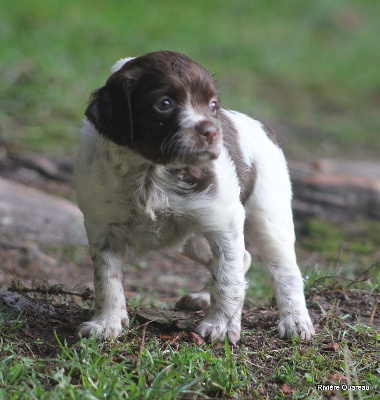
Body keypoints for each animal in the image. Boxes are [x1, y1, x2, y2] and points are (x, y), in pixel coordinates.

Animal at [75, 50, 314, 344]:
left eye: (212, 105)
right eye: (164, 103)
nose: (211, 131)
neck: (151, 173)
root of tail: (262, 127)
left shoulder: (223, 221)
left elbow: (227, 279)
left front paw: (220, 326)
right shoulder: (102, 225)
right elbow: (106, 280)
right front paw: (106, 323)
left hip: (268, 217)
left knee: (284, 271)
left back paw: (295, 321)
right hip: (192, 238)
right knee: (242, 257)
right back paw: (202, 296)